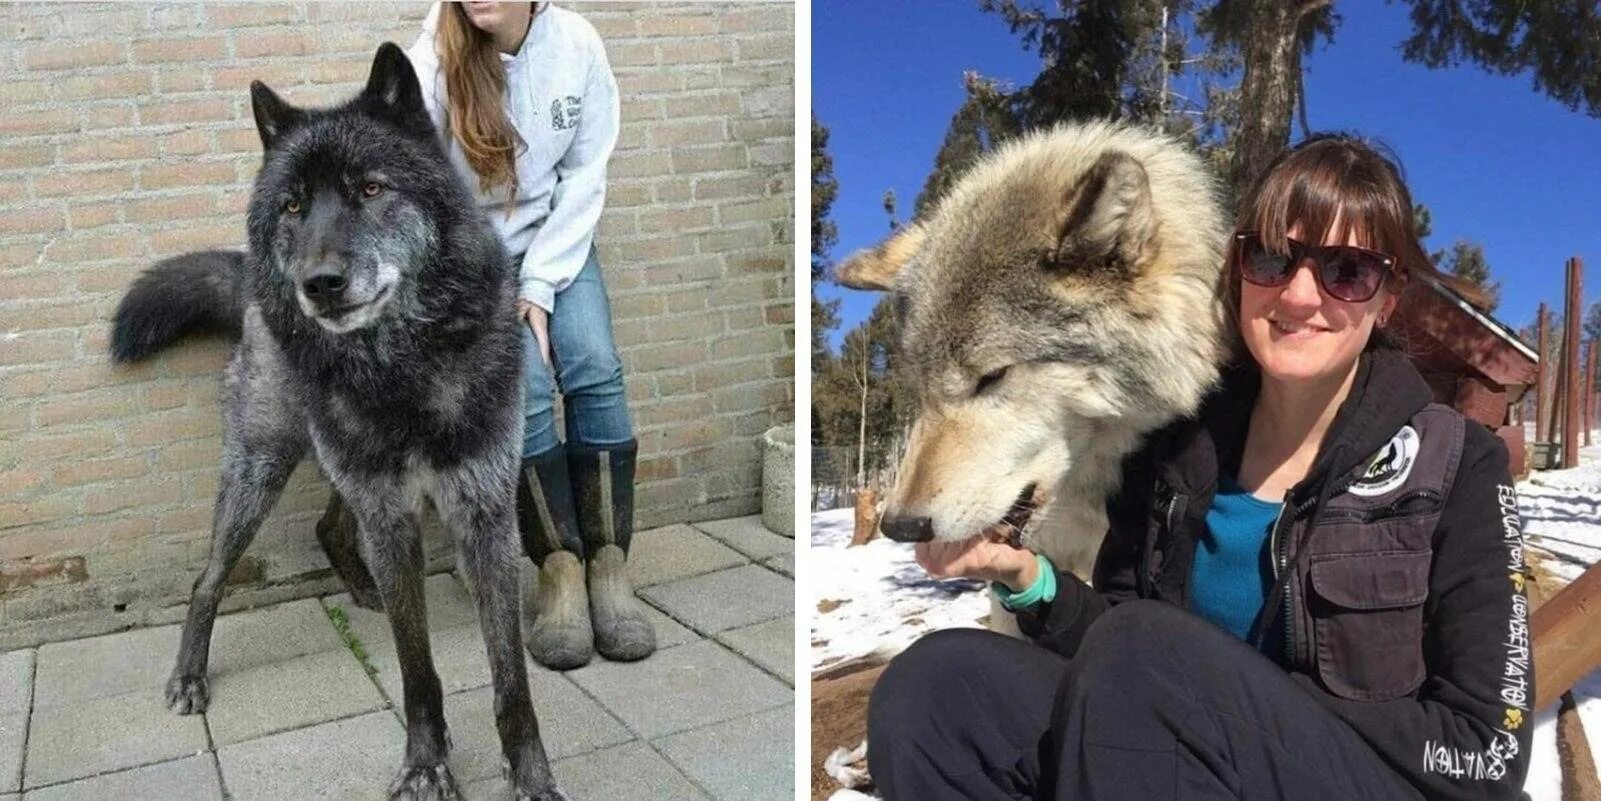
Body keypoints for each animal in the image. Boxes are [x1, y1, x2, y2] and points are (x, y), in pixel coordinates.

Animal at [109, 42, 569, 801]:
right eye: (293, 205)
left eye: (372, 189)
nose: (318, 285)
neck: (402, 370)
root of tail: (250, 281)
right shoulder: (389, 516)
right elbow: (415, 668)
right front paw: (425, 762)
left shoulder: (482, 516)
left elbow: (511, 677)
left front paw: (530, 775)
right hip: (261, 469)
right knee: (208, 578)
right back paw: (189, 673)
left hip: (337, 468)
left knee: (328, 526)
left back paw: (359, 590)